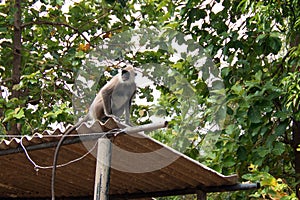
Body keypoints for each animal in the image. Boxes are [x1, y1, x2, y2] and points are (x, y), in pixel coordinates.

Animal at [51, 65, 136, 198]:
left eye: (126, 73)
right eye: (123, 72)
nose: (123, 75)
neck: (125, 83)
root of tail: (91, 111)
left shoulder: (132, 87)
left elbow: (128, 102)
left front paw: (128, 122)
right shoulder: (116, 81)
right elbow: (105, 92)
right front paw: (110, 115)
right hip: (98, 108)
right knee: (105, 98)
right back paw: (104, 118)